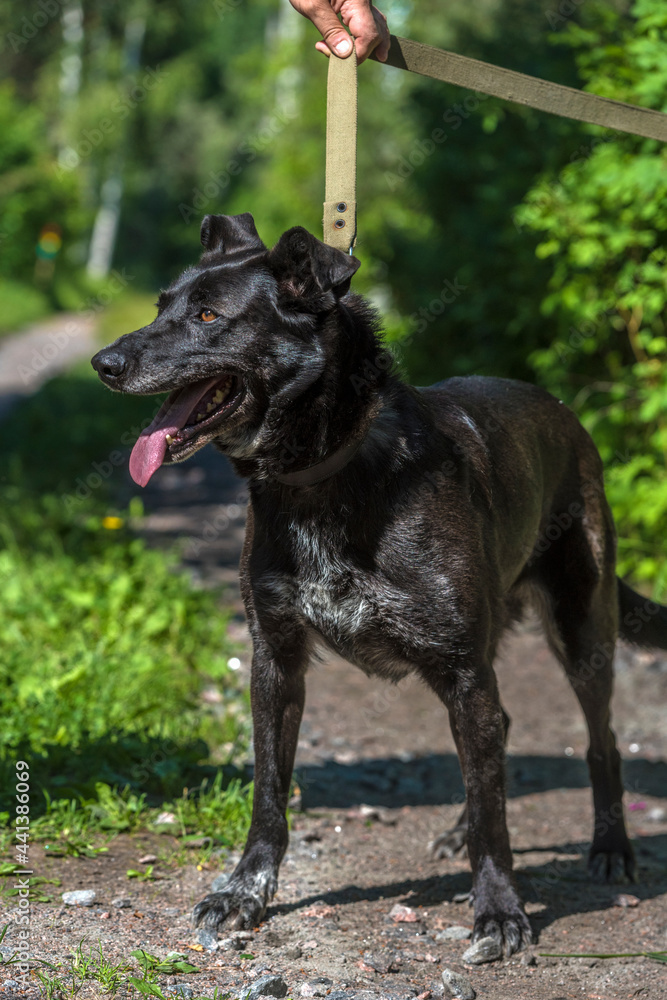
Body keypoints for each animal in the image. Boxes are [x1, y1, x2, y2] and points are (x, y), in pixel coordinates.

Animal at [91, 215, 667, 956]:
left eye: (209, 316)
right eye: (162, 304)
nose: (103, 363)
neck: (324, 473)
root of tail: (565, 413)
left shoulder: (461, 667)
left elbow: (497, 819)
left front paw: (499, 910)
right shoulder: (276, 662)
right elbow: (269, 793)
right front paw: (244, 892)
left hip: (579, 629)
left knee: (599, 740)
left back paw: (611, 846)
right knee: (498, 739)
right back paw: (460, 829)